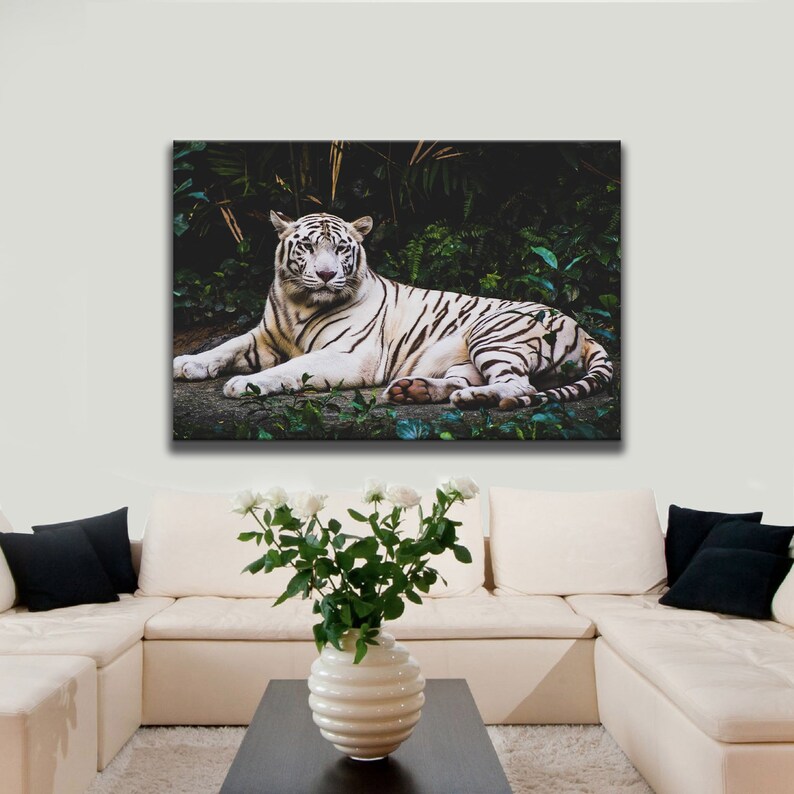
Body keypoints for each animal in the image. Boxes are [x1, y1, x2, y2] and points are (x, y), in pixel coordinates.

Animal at [173, 211, 614, 411]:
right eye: (308, 247)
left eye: (341, 248)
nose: (327, 274)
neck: (300, 302)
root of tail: (584, 329)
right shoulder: (264, 335)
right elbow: (227, 345)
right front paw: (187, 363)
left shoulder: (350, 355)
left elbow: (289, 368)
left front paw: (245, 385)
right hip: (465, 358)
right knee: (468, 380)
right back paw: (414, 390)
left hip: (493, 334)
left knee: (520, 387)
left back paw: (474, 399)